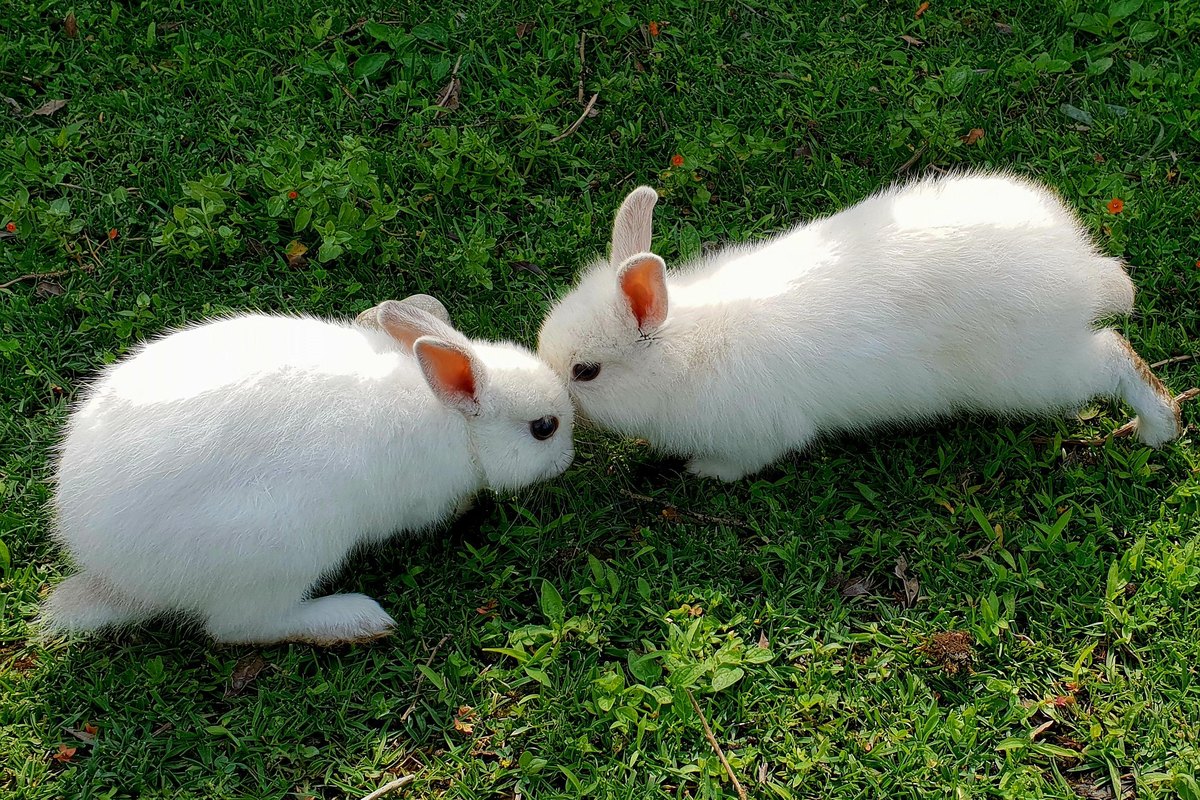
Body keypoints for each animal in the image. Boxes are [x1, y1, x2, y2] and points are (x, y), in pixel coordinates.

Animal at [43, 299, 574, 645]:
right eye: (544, 428)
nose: (567, 460)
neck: (457, 422)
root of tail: (113, 574)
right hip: (285, 546)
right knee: (241, 628)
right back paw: (355, 620)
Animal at [537, 172, 1182, 482]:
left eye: (586, 372)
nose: (553, 412)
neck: (683, 354)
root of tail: (1077, 270)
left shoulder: (761, 434)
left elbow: (744, 461)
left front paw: (704, 473)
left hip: (1037, 374)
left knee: (1112, 353)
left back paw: (1159, 428)